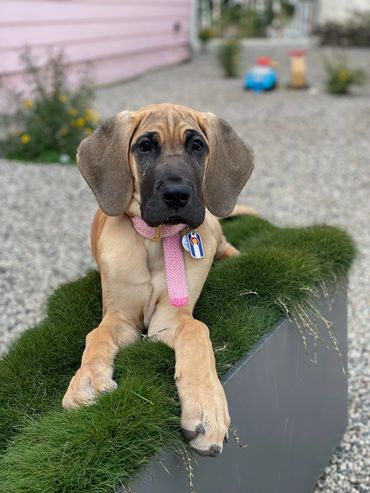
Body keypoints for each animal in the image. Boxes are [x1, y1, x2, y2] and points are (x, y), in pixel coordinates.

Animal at [63, 104, 254, 458]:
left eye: (197, 145)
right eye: (145, 146)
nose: (177, 195)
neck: (155, 241)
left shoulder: (171, 317)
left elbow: (197, 331)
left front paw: (206, 408)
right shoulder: (120, 317)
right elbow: (97, 336)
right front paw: (88, 378)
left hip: (212, 228)